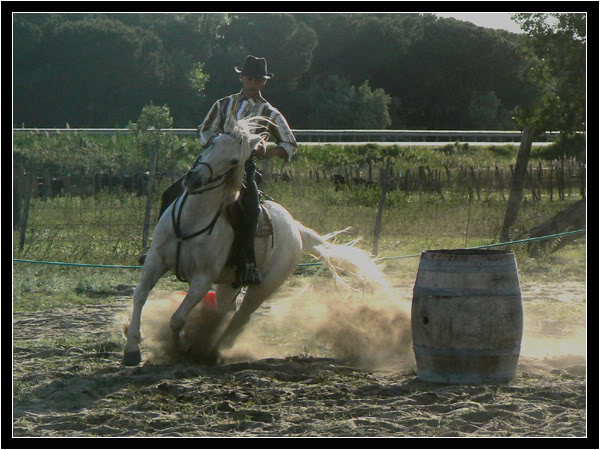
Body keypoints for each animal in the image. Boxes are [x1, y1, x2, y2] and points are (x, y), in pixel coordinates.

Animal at [123, 116, 384, 366]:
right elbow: (140, 295)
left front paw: (178, 348)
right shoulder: (155, 261)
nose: (194, 179)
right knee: (227, 311)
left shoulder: (202, 279)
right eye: (212, 143)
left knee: (242, 316)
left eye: (234, 161)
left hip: (265, 286)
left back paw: (215, 349)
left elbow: (177, 319)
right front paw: (132, 347)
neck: (192, 221)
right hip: (228, 283)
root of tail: (295, 228)